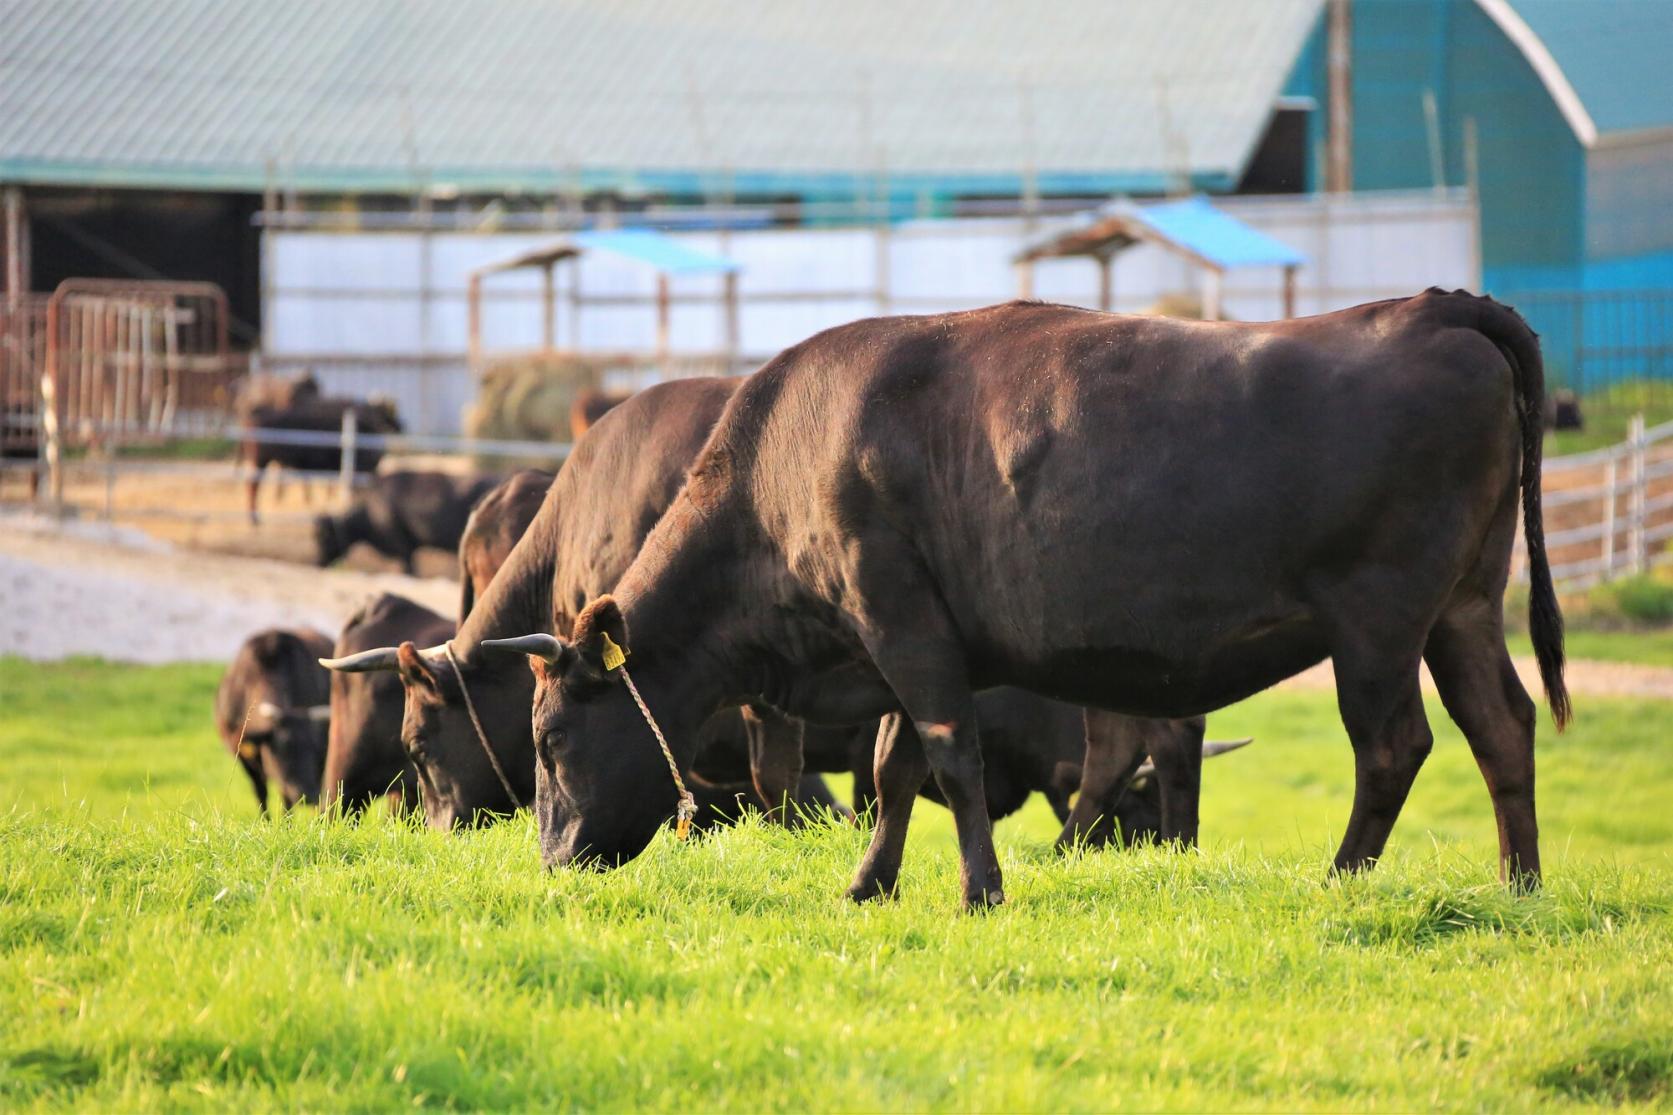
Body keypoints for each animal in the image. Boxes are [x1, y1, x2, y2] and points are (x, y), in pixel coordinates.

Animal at [214, 626, 334, 816]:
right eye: (283, 750)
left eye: (315, 750)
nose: (308, 795)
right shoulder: (243, 756)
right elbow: (261, 793)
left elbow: (286, 801)